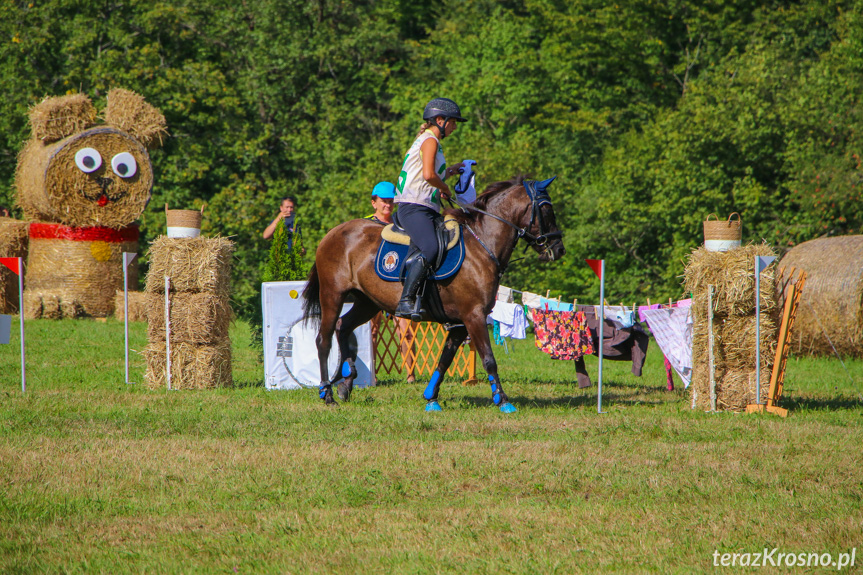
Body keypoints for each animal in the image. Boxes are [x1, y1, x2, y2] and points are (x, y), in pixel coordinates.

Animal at [302, 177, 568, 414]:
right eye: (547, 209)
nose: (559, 249)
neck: (482, 244)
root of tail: (332, 233)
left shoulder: (460, 323)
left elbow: (444, 359)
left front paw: (431, 398)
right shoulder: (474, 317)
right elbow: (489, 359)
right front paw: (503, 401)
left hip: (367, 303)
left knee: (343, 326)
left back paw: (346, 383)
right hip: (333, 295)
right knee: (323, 339)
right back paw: (327, 393)